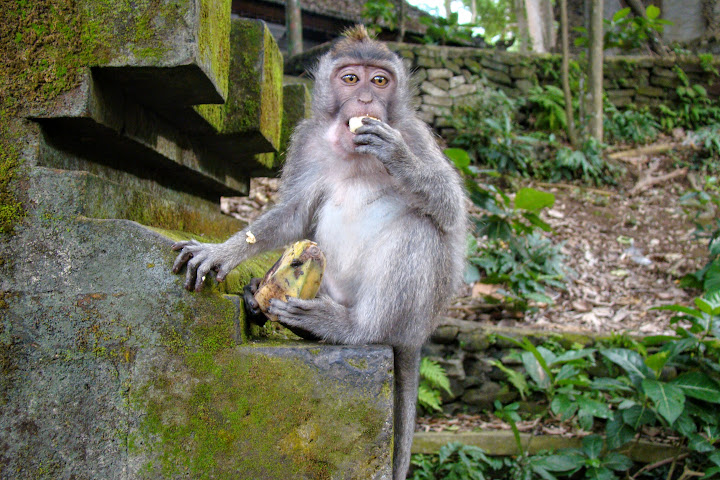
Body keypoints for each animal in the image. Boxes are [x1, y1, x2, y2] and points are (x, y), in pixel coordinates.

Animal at [172, 26, 470, 480]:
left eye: (379, 80)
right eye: (351, 79)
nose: (364, 100)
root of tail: (417, 335)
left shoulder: (415, 133)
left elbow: (450, 209)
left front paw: (397, 156)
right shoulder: (305, 141)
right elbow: (295, 214)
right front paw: (223, 252)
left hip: (416, 312)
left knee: (420, 230)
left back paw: (351, 328)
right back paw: (261, 302)